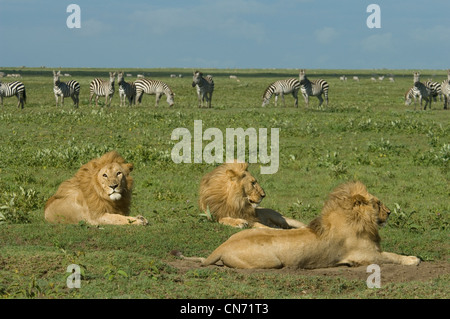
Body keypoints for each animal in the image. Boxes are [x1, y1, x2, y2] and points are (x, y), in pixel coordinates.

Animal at [181, 181, 420, 268]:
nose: (389, 212)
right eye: (378, 203)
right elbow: (392, 256)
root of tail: (221, 247)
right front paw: (413, 259)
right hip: (272, 263)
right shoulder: (364, 256)